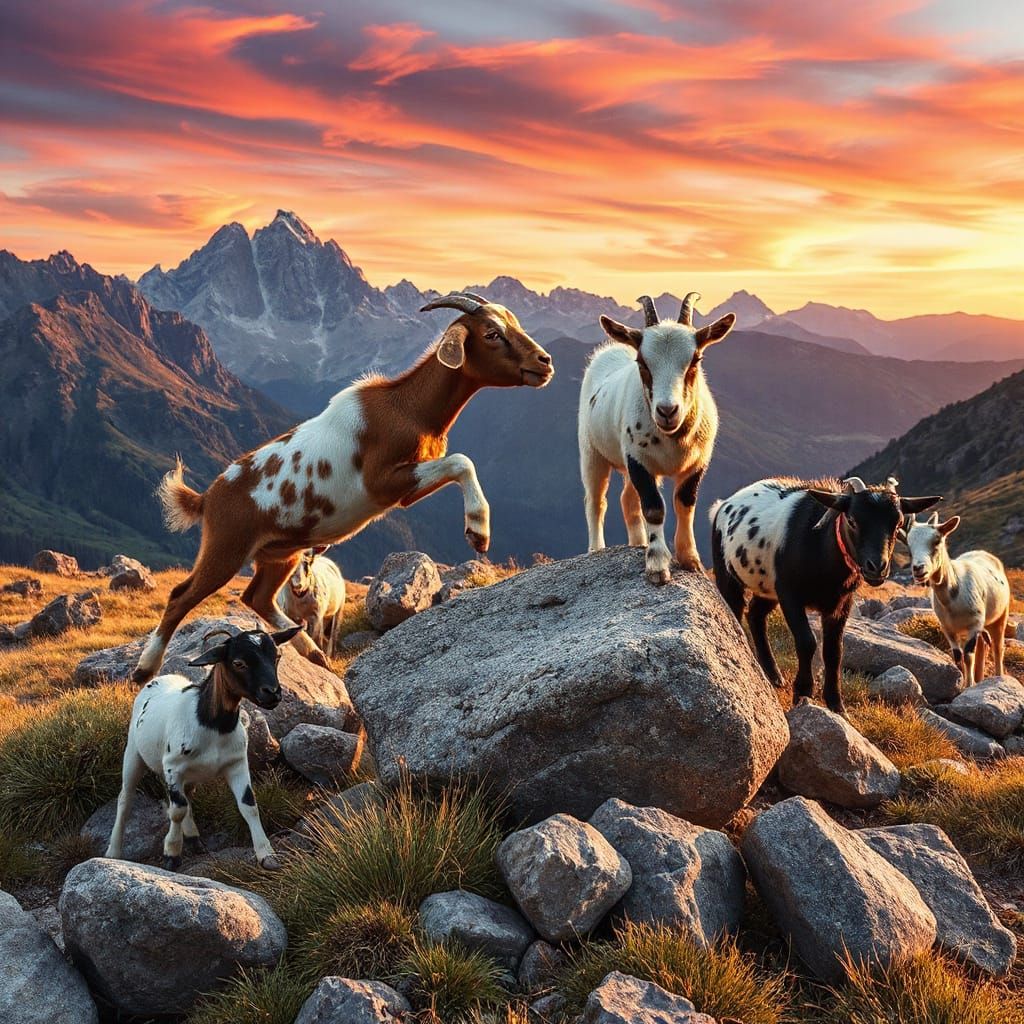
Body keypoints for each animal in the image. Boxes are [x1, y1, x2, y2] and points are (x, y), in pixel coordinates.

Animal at [106, 625, 301, 871]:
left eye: (277, 657)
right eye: (239, 663)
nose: (273, 693)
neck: (212, 724)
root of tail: (160, 678)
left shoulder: (237, 763)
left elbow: (249, 806)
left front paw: (267, 855)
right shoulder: (173, 766)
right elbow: (177, 811)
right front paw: (171, 853)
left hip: (189, 774)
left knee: (186, 797)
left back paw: (193, 837)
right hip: (133, 752)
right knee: (126, 798)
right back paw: (113, 852)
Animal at [134, 294, 553, 683]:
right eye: (492, 333)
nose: (545, 361)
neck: (406, 408)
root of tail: (207, 497)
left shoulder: (403, 486)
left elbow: (460, 462)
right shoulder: (384, 482)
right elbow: (462, 461)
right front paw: (478, 531)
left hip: (280, 551)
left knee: (257, 596)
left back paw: (311, 650)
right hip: (226, 546)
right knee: (181, 596)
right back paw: (144, 668)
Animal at [579, 292, 735, 582]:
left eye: (696, 360)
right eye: (642, 362)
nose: (667, 411)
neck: (673, 439)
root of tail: (609, 349)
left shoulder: (697, 462)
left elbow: (684, 503)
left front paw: (690, 559)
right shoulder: (638, 460)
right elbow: (653, 508)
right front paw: (657, 566)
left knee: (627, 500)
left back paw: (638, 543)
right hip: (592, 452)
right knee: (596, 501)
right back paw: (596, 549)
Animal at [711, 476, 941, 714]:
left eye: (897, 525)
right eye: (852, 520)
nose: (877, 568)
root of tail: (722, 505)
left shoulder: (841, 604)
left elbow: (834, 652)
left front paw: (836, 704)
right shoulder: (789, 594)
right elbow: (807, 642)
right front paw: (802, 691)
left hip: (767, 589)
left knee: (756, 615)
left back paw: (773, 675)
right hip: (727, 573)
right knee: (735, 611)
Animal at [901, 513, 1011, 684]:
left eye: (937, 541)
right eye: (909, 545)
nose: (918, 569)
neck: (952, 599)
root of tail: (982, 552)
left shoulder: (974, 624)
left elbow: (968, 657)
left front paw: (970, 684)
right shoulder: (948, 628)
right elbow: (958, 657)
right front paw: (964, 685)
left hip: (1000, 614)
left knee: (998, 648)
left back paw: (998, 676)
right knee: (982, 646)